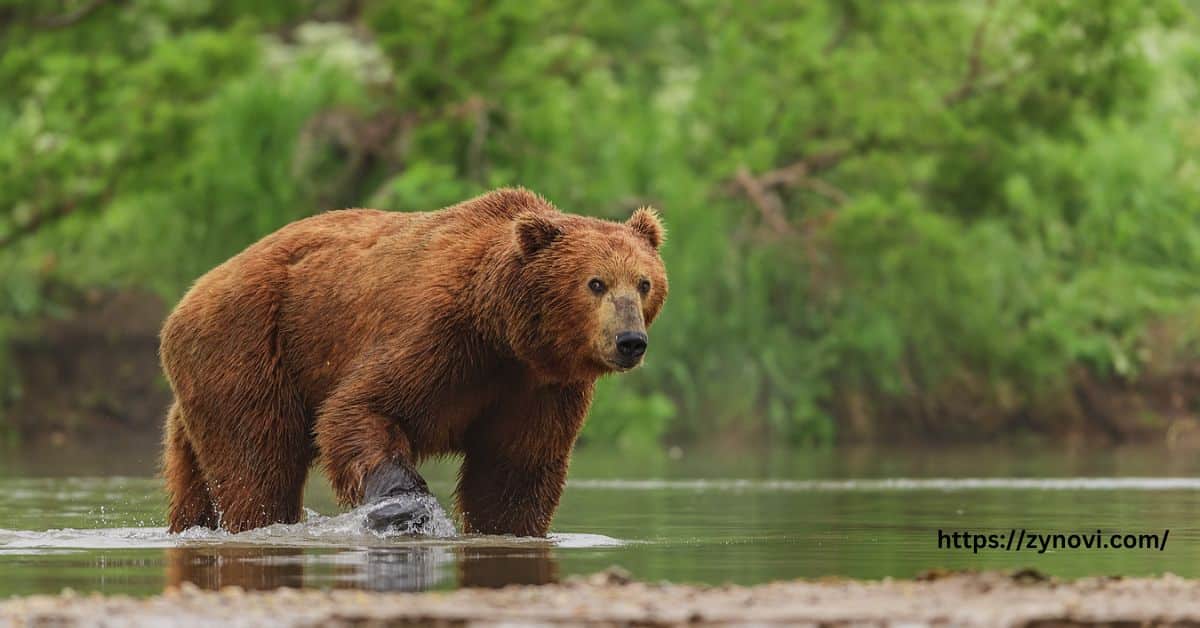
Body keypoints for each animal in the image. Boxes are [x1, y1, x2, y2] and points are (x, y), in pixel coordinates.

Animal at [158, 187, 667, 535]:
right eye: (595, 283)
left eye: (644, 282)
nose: (630, 341)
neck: (503, 331)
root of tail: (186, 300)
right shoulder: (438, 337)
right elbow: (360, 409)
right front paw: (407, 510)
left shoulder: (538, 388)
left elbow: (514, 471)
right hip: (250, 346)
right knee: (257, 463)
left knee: (195, 468)